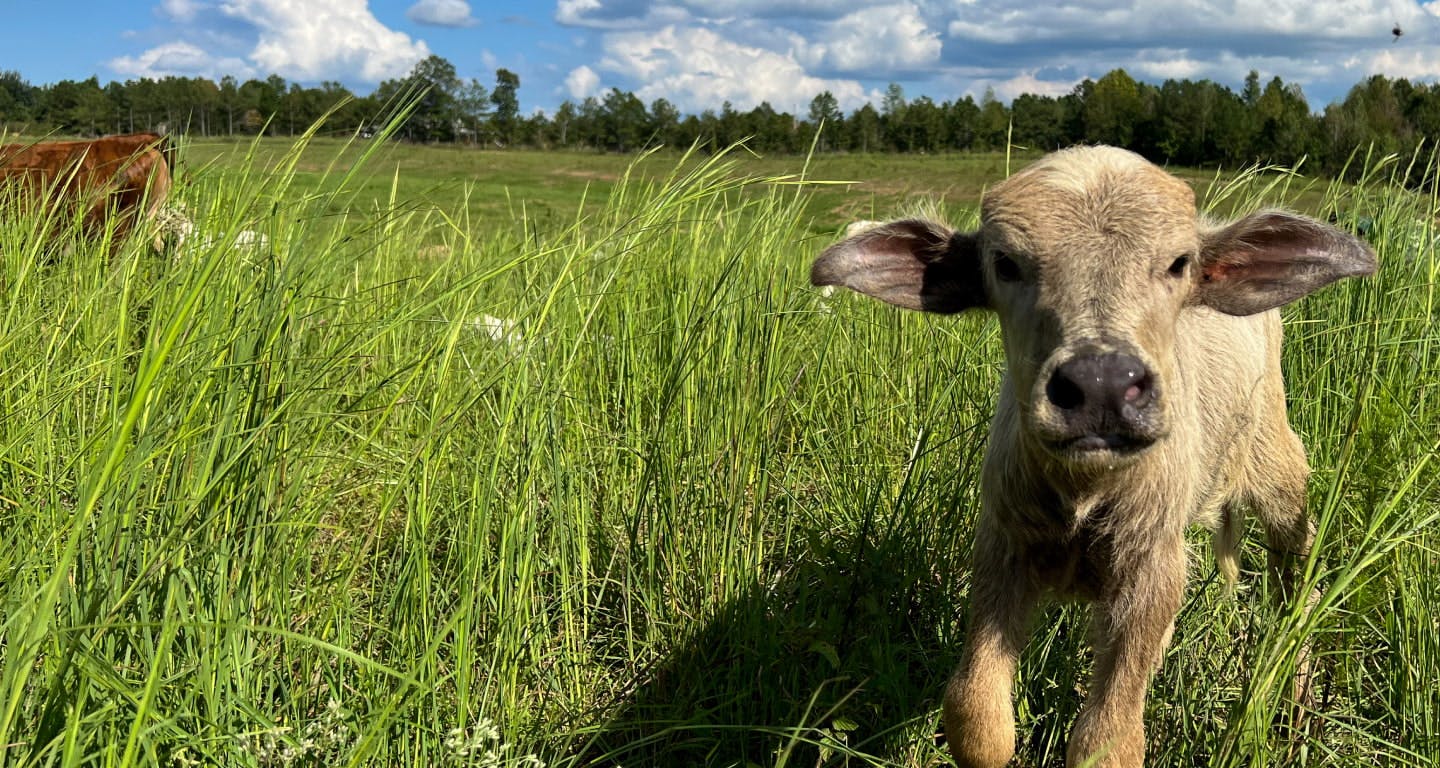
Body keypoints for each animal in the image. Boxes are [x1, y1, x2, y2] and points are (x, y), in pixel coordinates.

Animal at [812, 145, 1370, 766]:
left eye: (1179, 263)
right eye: (1005, 263)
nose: (1102, 384)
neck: (1086, 491)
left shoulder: (1152, 566)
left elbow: (1107, 742)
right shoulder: (1002, 545)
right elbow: (977, 719)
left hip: (1278, 466)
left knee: (1296, 586)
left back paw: (1299, 712)